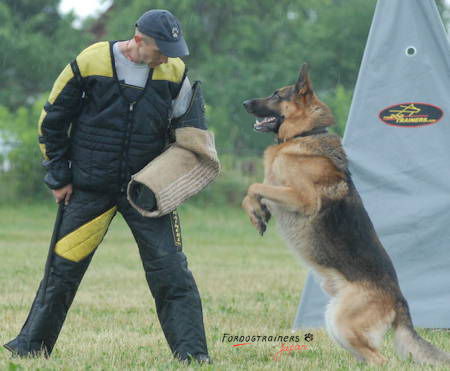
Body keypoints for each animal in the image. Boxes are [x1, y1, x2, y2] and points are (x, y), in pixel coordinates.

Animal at [243, 64, 450, 366]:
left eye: (276, 95)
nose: (245, 103)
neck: (305, 134)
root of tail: (400, 300)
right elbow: (254, 190)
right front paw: (257, 213)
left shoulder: (302, 198)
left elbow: (254, 186)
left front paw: (256, 211)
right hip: (336, 323)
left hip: (343, 323)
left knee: (382, 360)